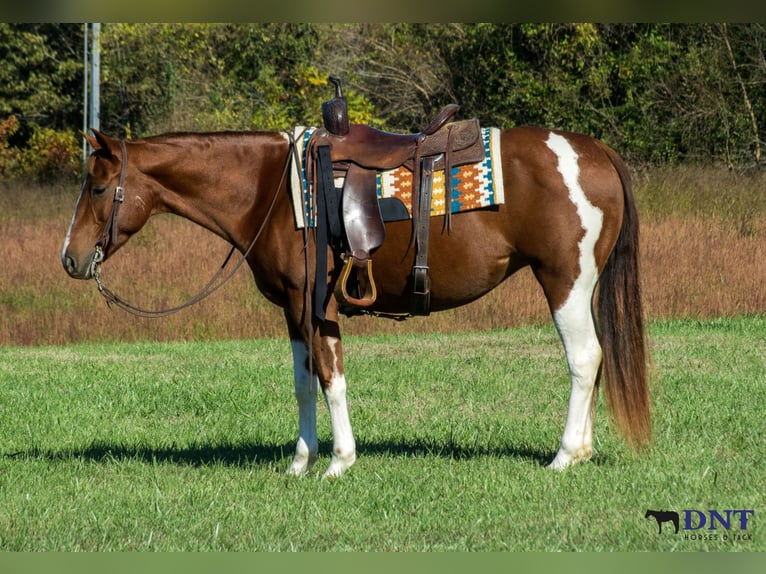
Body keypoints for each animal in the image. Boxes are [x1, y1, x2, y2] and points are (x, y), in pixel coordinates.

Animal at [62, 125, 650, 477]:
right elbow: (303, 384)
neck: (268, 189)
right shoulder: (292, 311)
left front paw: (339, 462)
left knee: (584, 359)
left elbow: (330, 379)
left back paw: (564, 455)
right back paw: (585, 450)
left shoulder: (313, 305)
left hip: (565, 282)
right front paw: (300, 462)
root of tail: (594, 152)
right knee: (596, 360)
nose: (70, 259)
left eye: (98, 188)